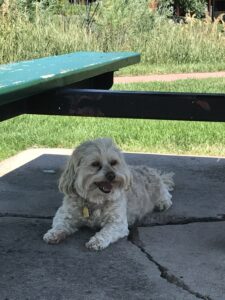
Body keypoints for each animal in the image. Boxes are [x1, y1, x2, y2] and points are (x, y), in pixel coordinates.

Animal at [44, 139, 174, 251]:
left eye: (114, 162)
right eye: (95, 164)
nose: (112, 175)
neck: (95, 200)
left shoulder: (117, 222)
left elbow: (106, 232)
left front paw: (97, 241)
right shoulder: (65, 213)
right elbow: (60, 223)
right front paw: (54, 233)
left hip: (158, 188)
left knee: (166, 194)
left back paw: (163, 203)